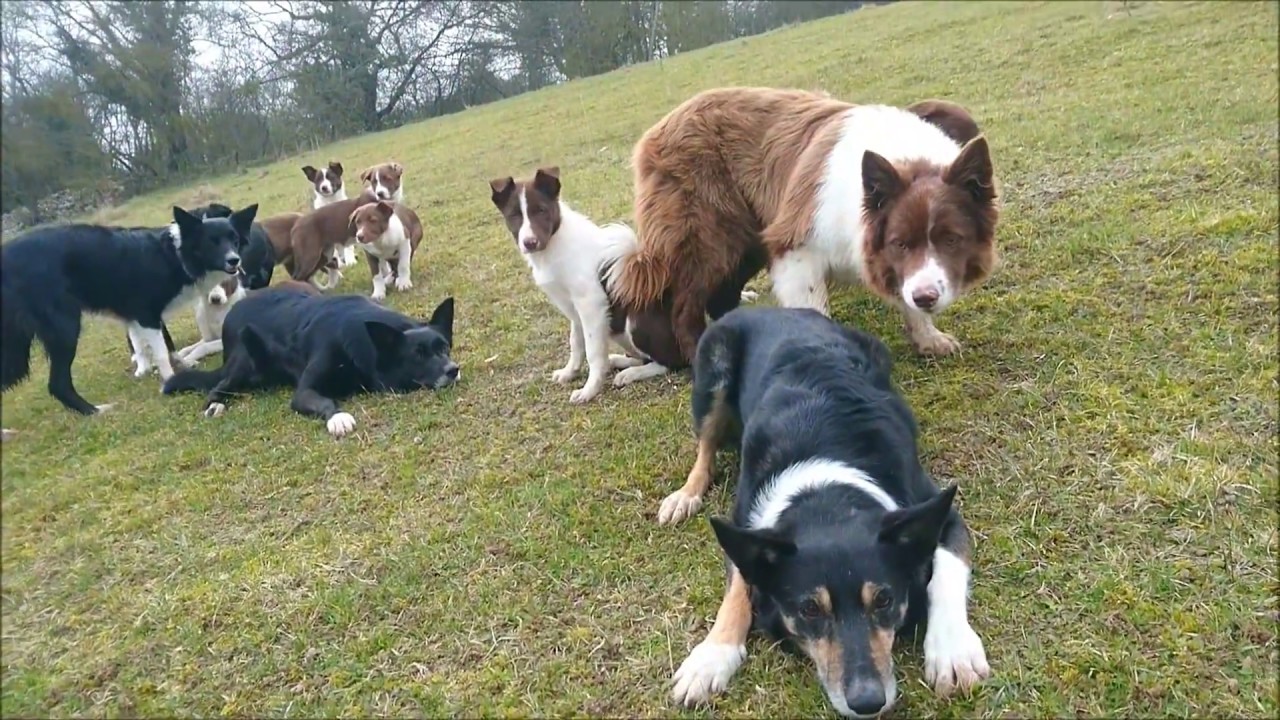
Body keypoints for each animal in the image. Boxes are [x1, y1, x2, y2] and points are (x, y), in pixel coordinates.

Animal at [162, 280, 458, 438]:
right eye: (418, 355)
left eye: (444, 348)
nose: (453, 370)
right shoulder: (304, 391)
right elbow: (324, 400)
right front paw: (338, 417)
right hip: (244, 363)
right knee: (218, 386)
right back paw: (215, 405)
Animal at [611, 87, 998, 361]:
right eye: (900, 242)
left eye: (952, 240)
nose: (927, 298)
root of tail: (658, 129)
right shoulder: (795, 247)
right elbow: (815, 311)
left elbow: (906, 293)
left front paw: (928, 337)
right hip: (710, 237)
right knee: (685, 307)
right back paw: (695, 359)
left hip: (748, 240)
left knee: (721, 299)